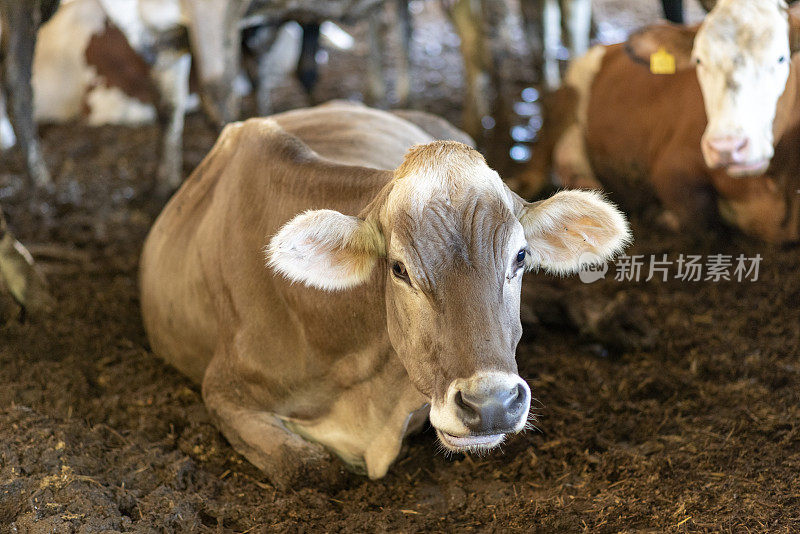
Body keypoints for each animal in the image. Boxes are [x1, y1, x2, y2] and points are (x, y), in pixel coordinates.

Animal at [520, 0, 800, 245]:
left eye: (781, 58)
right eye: (699, 60)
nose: (726, 147)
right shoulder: (671, 167)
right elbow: (704, 226)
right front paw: (661, 216)